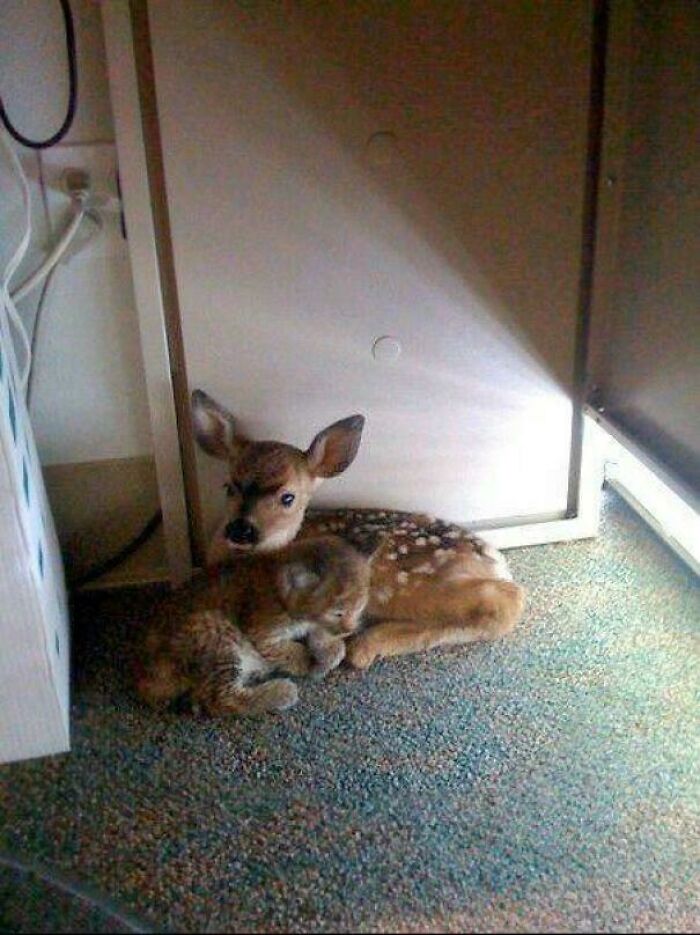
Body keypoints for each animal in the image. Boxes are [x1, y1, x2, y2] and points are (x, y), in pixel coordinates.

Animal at [191, 390, 525, 670]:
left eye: (288, 497)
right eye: (228, 487)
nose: (240, 530)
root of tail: (493, 558)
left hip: (413, 582)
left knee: (505, 601)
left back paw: (367, 646)